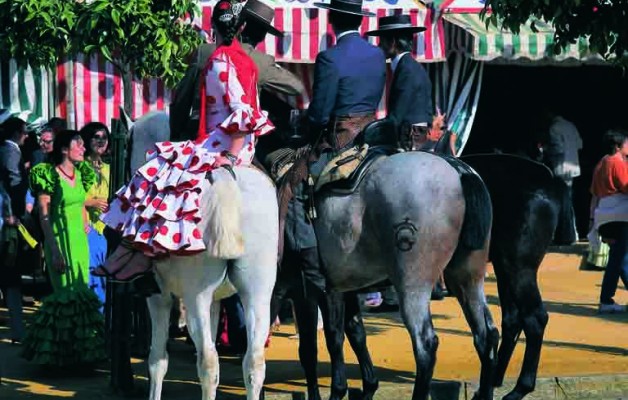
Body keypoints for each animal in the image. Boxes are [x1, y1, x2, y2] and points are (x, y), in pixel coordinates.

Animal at [121, 109, 278, 400]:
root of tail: (228, 178)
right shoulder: (215, 300)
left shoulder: (158, 298)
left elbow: (157, 361)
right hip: (258, 291)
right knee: (254, 362)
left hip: (196, 296)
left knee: (208, 360)